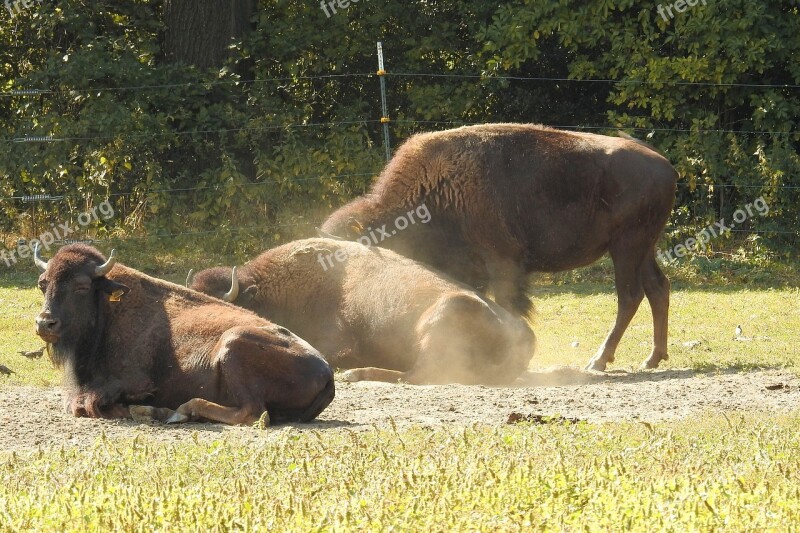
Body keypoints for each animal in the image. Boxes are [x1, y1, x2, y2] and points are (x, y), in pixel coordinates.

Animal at [33, 244, 334, 424]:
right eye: (42, 284)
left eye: (82, 286)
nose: (45, 323)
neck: (108, 308)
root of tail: (327, 370)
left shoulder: (132, 381)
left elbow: (86, 404)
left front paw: (143, 409)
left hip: (233, 343)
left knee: (252, 413)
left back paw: (179, 411)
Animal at [322, 123, 680, 370]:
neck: (437, 189)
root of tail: (667, 166)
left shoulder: (503, 263)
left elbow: (507, 303)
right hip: (644, 248)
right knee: (657, 288)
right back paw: (652, 357)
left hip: (626, 246)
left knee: (630, 296)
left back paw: (599, 360)